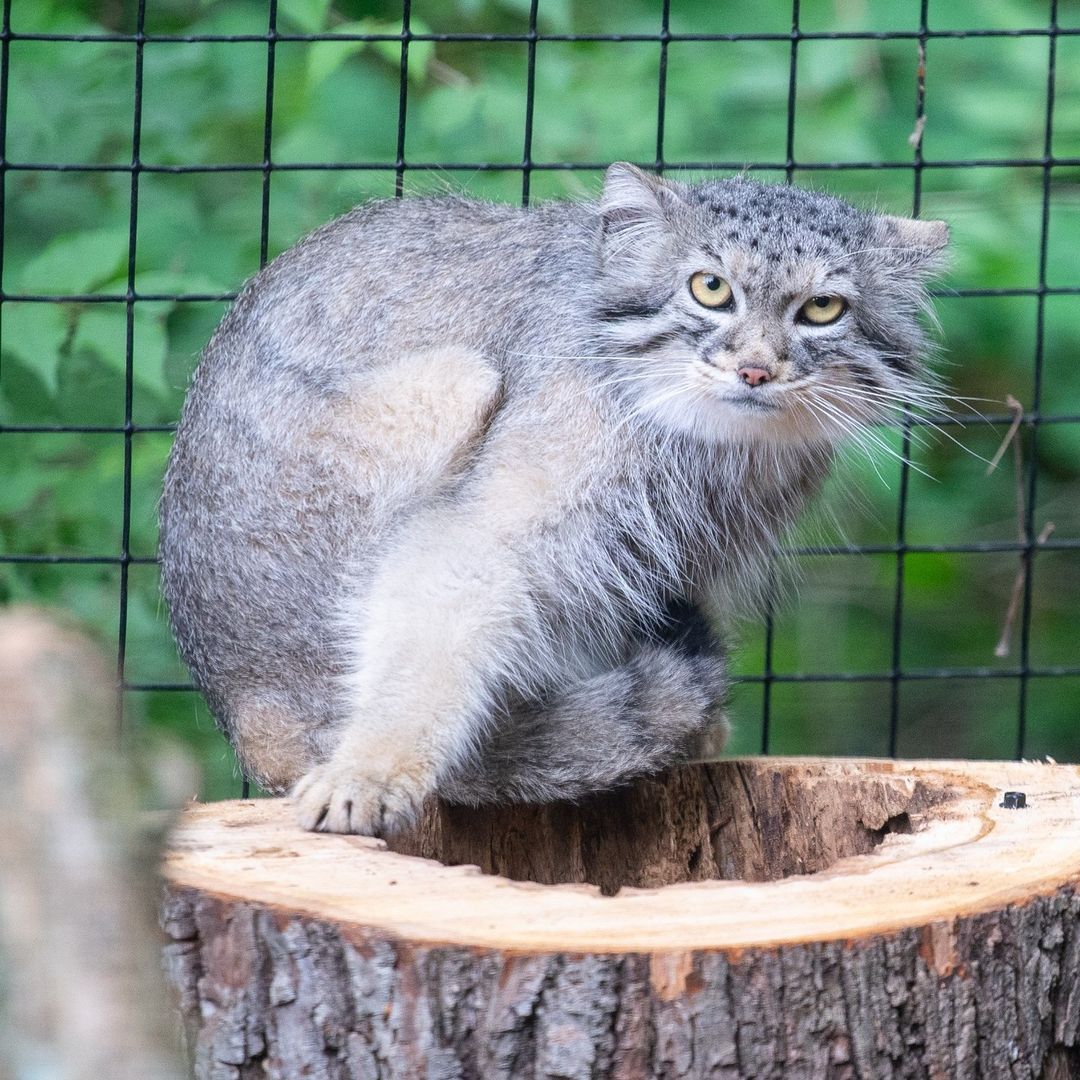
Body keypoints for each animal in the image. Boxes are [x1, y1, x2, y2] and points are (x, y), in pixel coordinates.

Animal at [157, 162, 946, 833]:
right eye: (711, 289)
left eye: (822, 308)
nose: (754, 370)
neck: (716, 446)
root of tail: (245, 707)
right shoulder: (486, 528)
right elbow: (440, 602)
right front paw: (372, 769)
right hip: (454, 380)